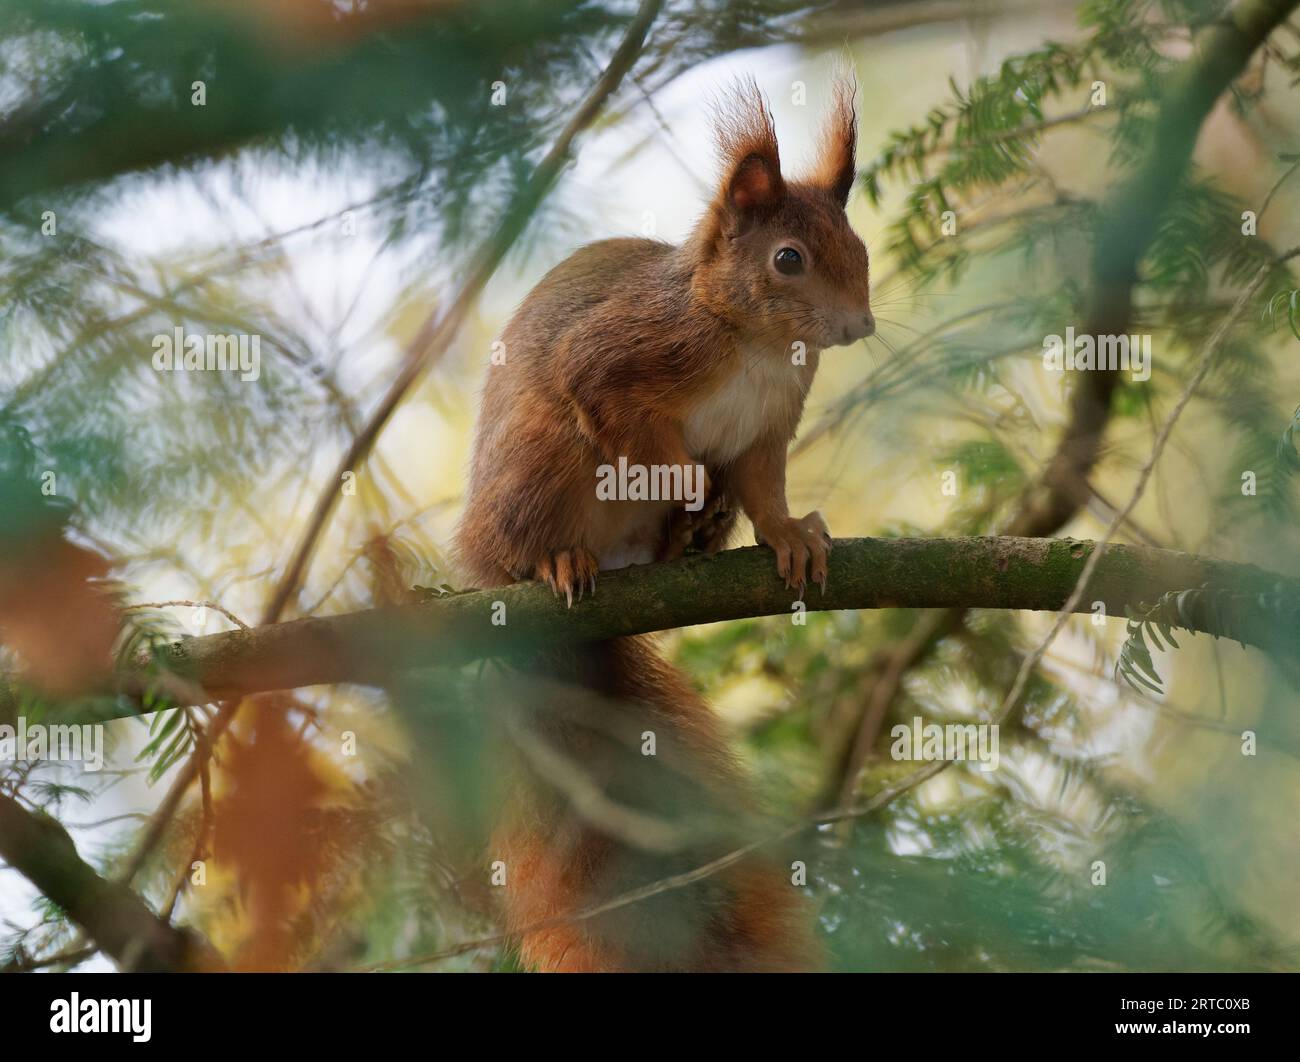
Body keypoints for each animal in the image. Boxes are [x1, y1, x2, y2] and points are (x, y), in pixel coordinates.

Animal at [453, 77, 873, 972]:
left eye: (857, 246)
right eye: (788, 259)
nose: (858, 326)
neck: (759, 345)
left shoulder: (767, 432)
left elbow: (764, 490)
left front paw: (790, 536)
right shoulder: (619, 358)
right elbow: (627, 421)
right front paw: (684, 480)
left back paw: (688, 538)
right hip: (540, 462)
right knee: (524, 537)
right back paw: (561, 561)